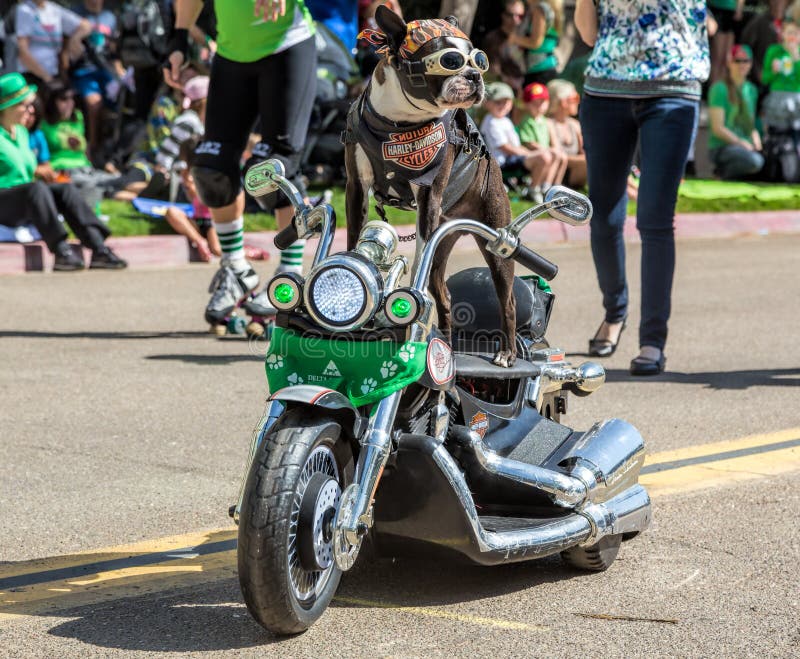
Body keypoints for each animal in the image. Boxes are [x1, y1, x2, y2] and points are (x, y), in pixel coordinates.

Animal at [344, 5, 520, 366]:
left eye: (478, 59)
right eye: (449, 60)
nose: (475, 75)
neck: (399, 124)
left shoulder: (429, 195)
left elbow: (417, 263)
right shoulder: (356, 188)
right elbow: (353, 238)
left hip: (495, 241)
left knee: (507, 299)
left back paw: (506, 352)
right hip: (444, 245)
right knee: (445, 296)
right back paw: (446, 347)